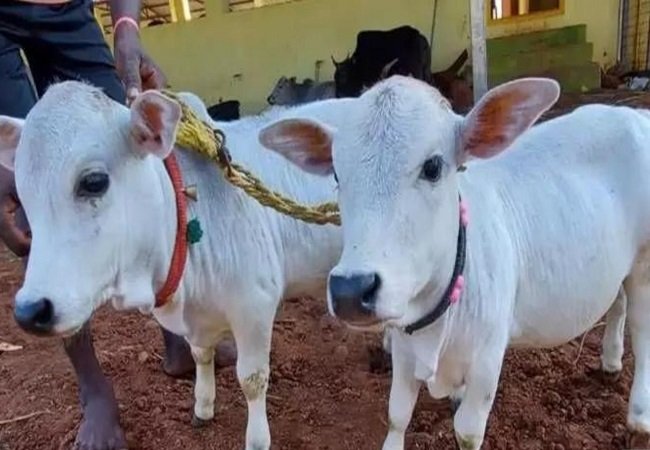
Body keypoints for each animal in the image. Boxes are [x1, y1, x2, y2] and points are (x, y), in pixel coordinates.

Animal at [258, 75, 650, 449]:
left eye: (433, 167)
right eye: (338, 174)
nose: (351, 290)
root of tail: (631, 114)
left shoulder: (487, 361)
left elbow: (467, 432)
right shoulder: (403, 352)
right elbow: (397, 415)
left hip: (644, 264)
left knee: (641, 328)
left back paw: (637, 417)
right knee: (617, 301)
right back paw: (611, 361)